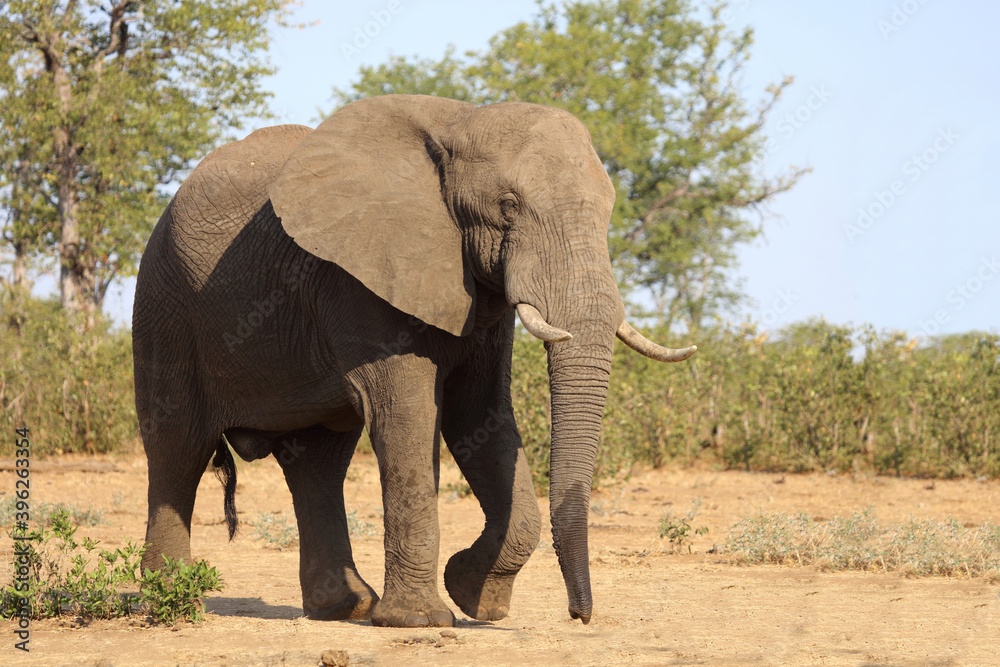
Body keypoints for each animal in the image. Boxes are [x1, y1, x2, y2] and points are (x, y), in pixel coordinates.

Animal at [132, 94, 696, 628]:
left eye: (609, 210)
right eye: (508, 206)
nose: (581, 615)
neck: (460, 121)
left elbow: (480, 414)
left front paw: (475, 598)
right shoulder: (361, 274)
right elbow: (408, 415)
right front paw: (422, 620)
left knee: (318, 461)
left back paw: (347, 608)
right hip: (164, 303)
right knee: (178, 447)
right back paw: (174, 602)